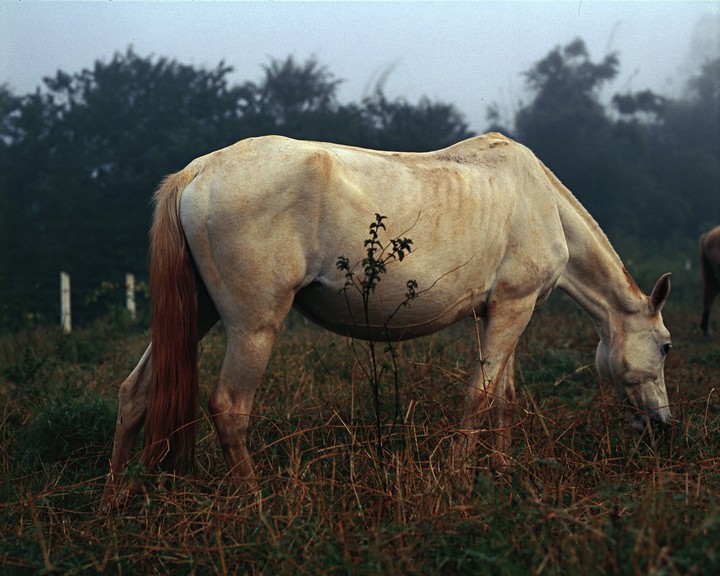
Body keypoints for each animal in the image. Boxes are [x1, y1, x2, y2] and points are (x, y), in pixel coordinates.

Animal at [102, 133, 673, 506]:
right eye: (666, 346)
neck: (540, 200)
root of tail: (196, 172)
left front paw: (502, 470)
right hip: (252, 326)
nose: (662, 425)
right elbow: (480, 398)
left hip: (195, 314)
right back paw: (257, 502)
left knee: (136, 392)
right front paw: (461, 481)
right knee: (228, 407)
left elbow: (503, 398)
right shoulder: (514, 307)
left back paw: (113, 500)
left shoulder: (500, 312)